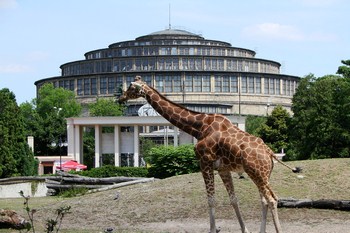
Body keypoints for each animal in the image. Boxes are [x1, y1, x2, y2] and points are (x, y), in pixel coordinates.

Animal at [117, 76, 300, 233]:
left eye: (131, 87)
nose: (121, 98)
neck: (199, 127)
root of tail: (270, 153)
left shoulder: (204, 162)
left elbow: (211, 199)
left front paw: (213, 229)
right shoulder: (223, 169)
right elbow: (233, 199)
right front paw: (245, 230)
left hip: (257, 173)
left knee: (272, 199)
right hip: (262, 174)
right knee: (264, 200)